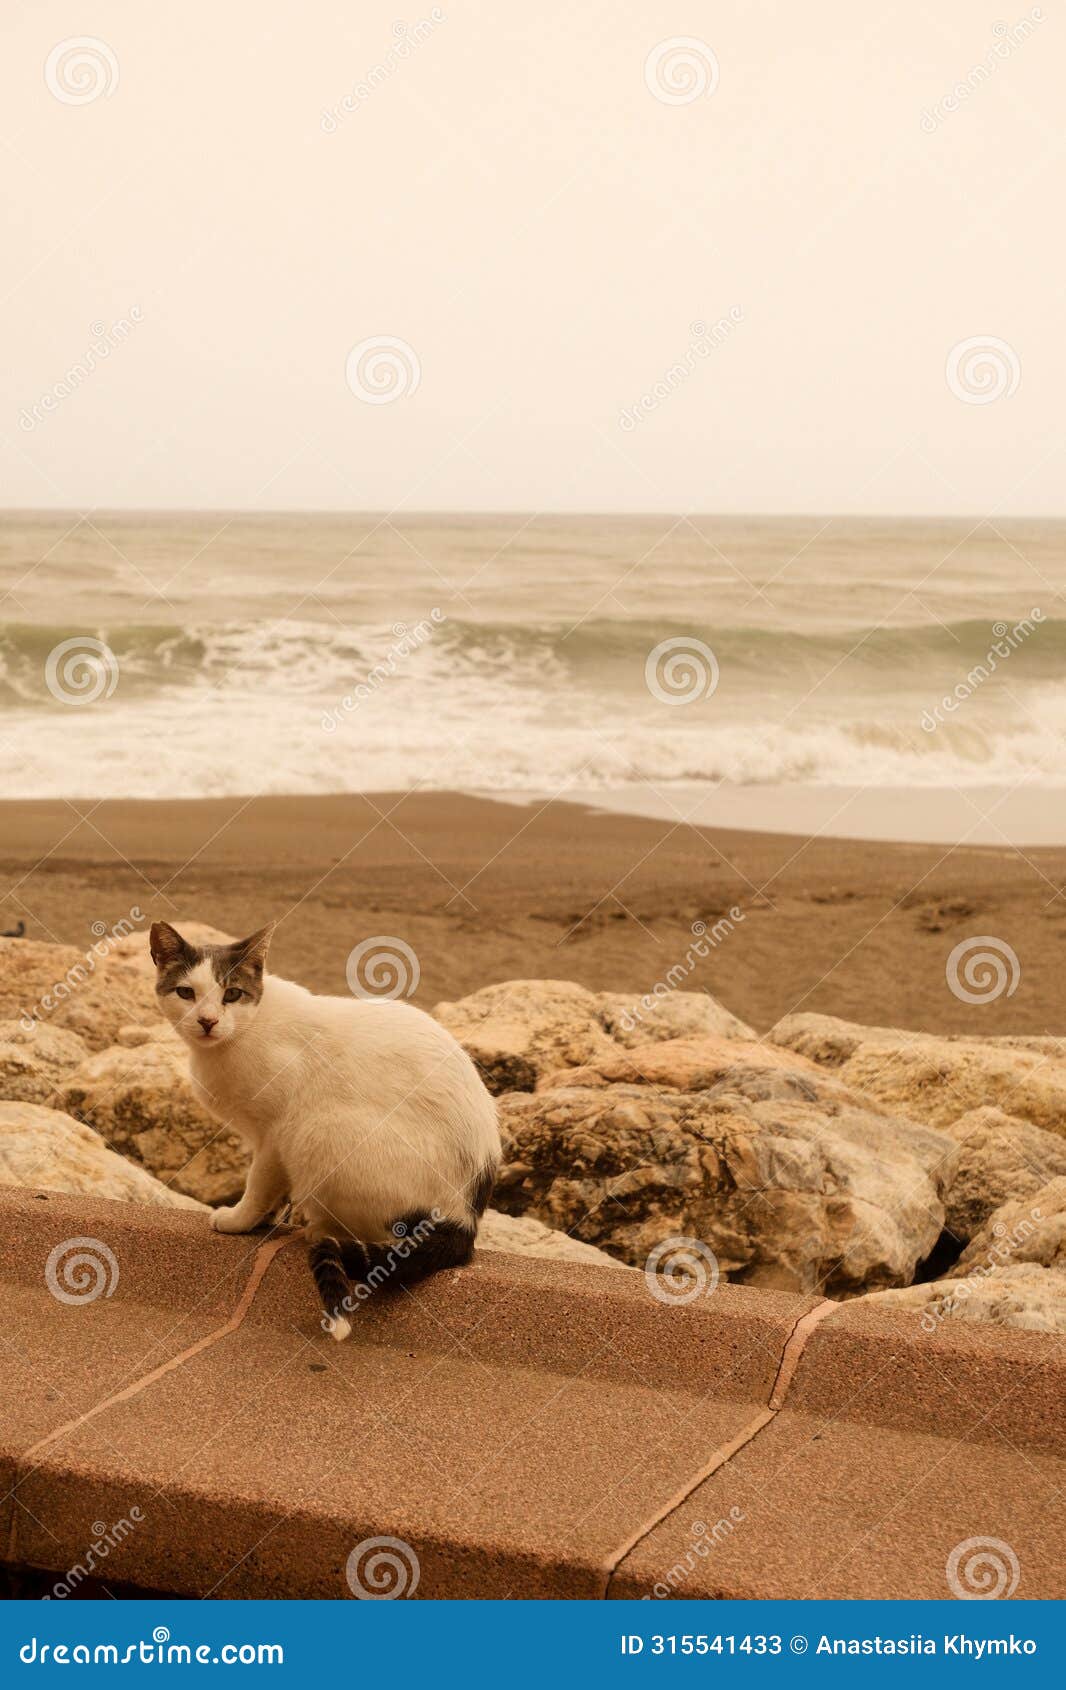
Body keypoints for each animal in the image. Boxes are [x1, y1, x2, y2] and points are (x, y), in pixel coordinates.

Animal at [147, 919, 503, 1338]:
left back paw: (319, 1229)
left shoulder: (275, 1134)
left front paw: (240, 1219)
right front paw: (267, 1218)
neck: (237, 1037)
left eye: (232, 994)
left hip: (318, 1131)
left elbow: (258, 1183)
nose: (207, 1021)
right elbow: (273, 1191)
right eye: (186, 993)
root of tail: (464, 1216)